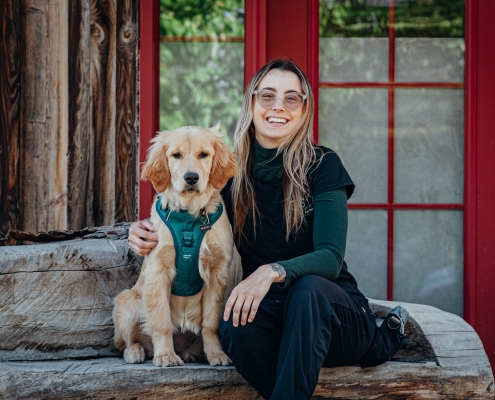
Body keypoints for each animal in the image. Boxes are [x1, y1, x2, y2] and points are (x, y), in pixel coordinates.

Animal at [113, 124, 237, 366]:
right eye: (176, 155)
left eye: (203, 155)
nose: (191, 178)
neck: (190, 215)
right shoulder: (158, 270)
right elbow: (161, 321)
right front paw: (165, 355)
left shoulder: (217, 273)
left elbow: (211, 323)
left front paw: (216, 354)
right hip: (126, 301)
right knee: (127, 340)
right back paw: (136, 351)